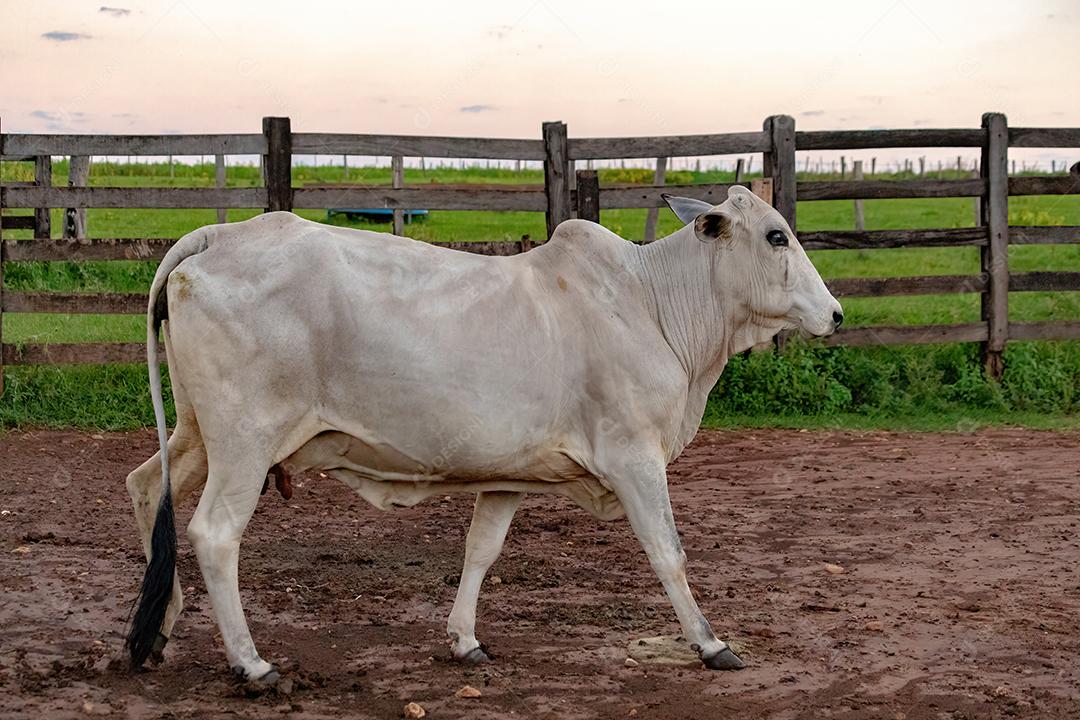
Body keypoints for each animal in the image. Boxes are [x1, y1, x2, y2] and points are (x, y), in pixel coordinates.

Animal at [124, 185, 833, 682]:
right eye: (776, 236)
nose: (834, 312)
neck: (653, 303)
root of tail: (222, 235)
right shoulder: (635, 459)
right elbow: (669, 554)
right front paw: (711, 643)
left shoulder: (509, 475)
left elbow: (480, 552)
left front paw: (465, 640)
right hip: (245, 441)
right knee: (214, 534)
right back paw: (252, 663)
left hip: (197, 434)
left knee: (145, 485)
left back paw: (158, 629)